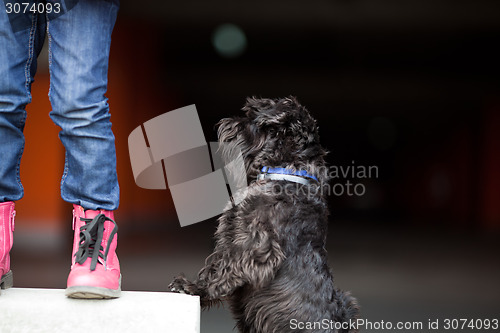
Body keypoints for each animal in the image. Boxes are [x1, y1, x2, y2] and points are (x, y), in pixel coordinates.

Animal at [170, 96, 358, 332]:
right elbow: (217, 263)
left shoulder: (255, 246)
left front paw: (193, 288)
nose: (226, 122)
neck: (287, 174)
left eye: (254, 118)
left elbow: (223, 268)